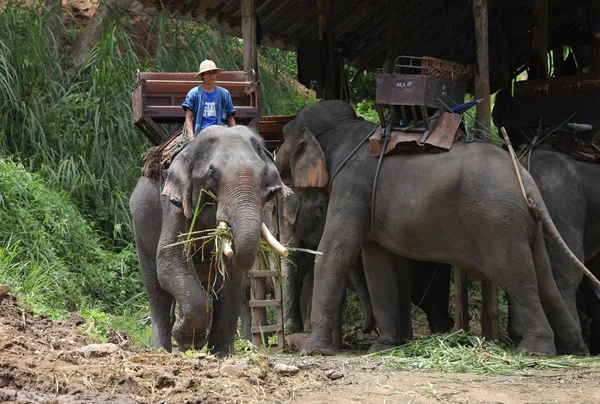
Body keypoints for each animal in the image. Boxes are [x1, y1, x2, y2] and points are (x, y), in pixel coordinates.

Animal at [131, 126, 288, 356]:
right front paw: (186, 338)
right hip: (140, 228)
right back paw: (162, 350)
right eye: (211, 174)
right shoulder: (174, 202)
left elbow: (231, 276)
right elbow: (170, 258)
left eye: (263, 175)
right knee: (156, 289)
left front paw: (221, 354)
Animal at [278, 98, 596, 356]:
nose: (275, 151)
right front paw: (382, 348)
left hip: (499, 223)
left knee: (517, 276)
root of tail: (525, 179)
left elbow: (335, 253)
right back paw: (574, 350)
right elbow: (376, 263)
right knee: (545, 276)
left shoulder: (351, 187)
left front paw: (312, 352)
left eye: (284, 135)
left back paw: (533, 352)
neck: (347, 132)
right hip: (526, 224)